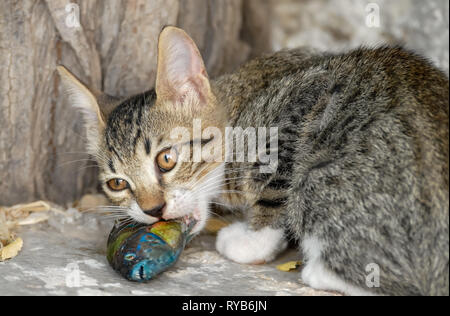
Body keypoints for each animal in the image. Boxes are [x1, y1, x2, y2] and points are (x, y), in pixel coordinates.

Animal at [59, 25, 446, 296]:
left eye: (166, 159)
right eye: (117, 184)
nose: (153, 210)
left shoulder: (295, 113)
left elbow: (273, 192)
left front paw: (251, 240)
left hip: (322, 174)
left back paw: (318, 269)